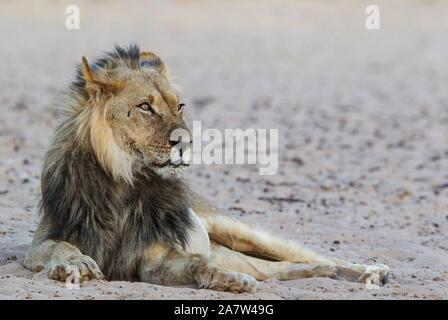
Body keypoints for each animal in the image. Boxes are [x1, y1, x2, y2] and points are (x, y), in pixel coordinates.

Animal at [23, 44, 388, 292]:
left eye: (180, 106)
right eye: (145, 107)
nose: (186, 141)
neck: (124, 180)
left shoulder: (155, 258)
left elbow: (199, 264)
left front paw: (232, 281)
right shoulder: (42, 242)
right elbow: (61, 247)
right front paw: (77, 264)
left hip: (240, 229)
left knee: (315, 256)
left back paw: (370, 272)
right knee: (281, 269)